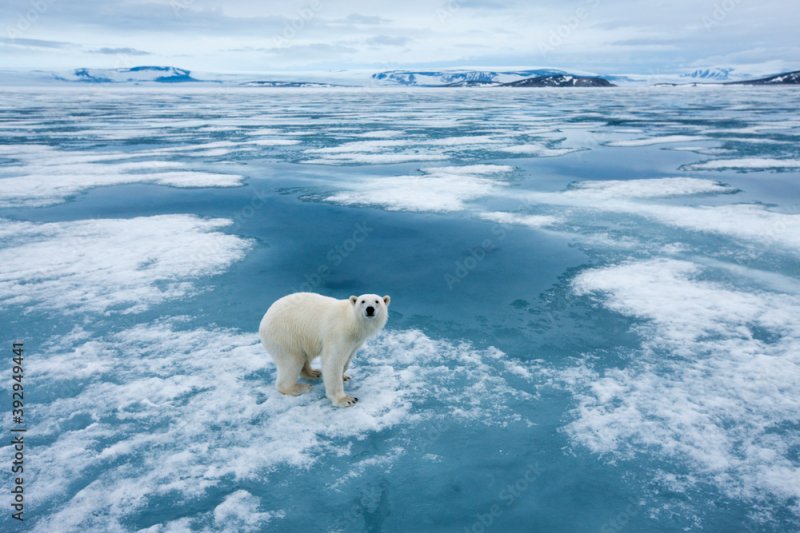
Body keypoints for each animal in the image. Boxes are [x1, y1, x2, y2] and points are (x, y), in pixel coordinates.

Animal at [260, 294, 390, 406]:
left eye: (377, 301)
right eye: (362, 301)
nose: (370, 309)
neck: (352, 321)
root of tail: (263, 321)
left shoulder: (356, 341)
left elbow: (347, 358)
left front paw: (344, 376)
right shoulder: (339, 333)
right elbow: (332, 361)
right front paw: (346, 399)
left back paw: (313, 372)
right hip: (285, 335)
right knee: (292, 361)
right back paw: (299, 387)